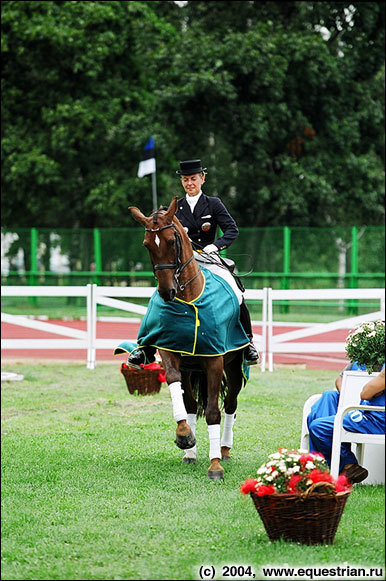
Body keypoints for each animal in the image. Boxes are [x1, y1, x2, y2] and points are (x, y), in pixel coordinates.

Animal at [127, 197, 247, 478]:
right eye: (147, 245)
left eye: (172, 241)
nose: (166, 292)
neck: (188, 296)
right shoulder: (171, 351)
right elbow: (175, 384)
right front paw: (184, 436)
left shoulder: (214, 360)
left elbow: (213, 412)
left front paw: (215, 466)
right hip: (192, 368)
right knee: (192, 404)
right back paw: (190, 453)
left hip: (235, 366)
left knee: (230, 404)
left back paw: (224, 450)